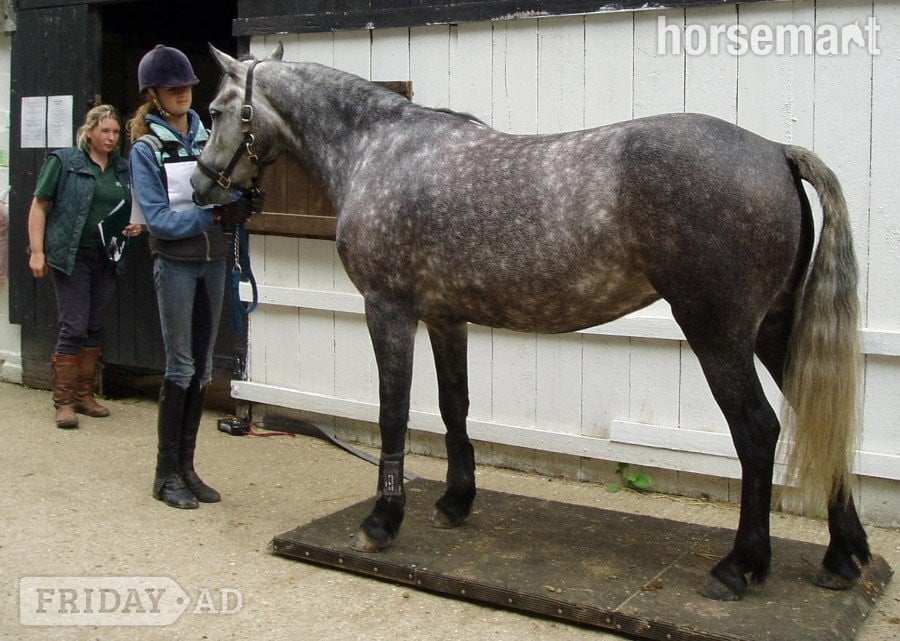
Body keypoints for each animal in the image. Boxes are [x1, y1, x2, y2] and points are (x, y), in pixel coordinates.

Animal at [192, 44, 871, 601]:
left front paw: (382, 522)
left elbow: (394, 411)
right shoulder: (446, 318)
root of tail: (775, 152)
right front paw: (455, 501)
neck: (378, 151)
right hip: (773, 328)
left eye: (220, 108)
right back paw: (844, 556)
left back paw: (738, 567)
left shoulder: (388, 309)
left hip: (719, 336)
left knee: (757, 433)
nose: (201, 187)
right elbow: (454, 406)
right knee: (819, 417)